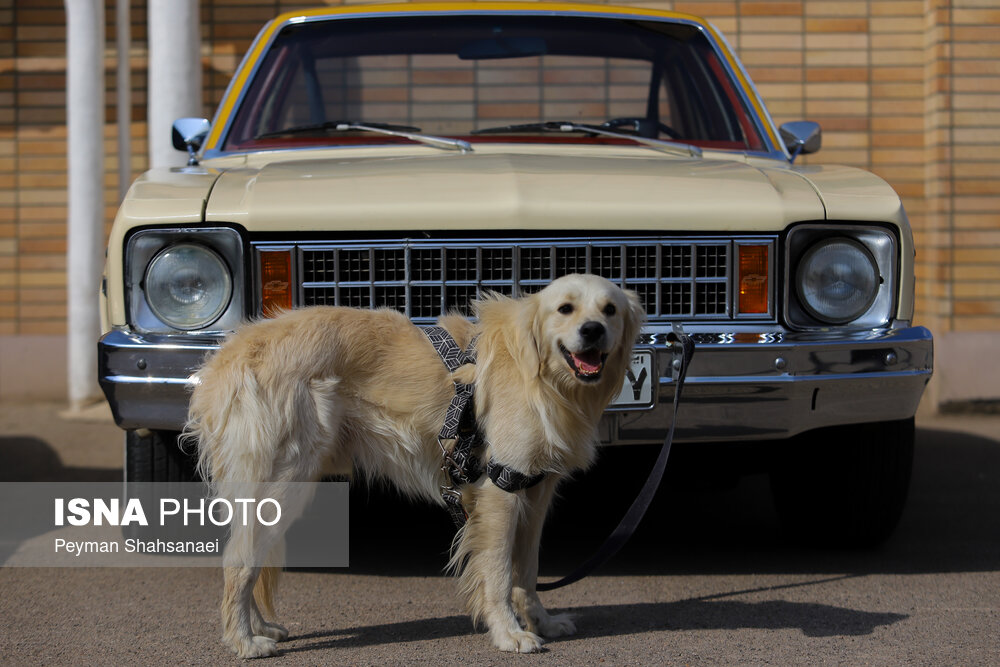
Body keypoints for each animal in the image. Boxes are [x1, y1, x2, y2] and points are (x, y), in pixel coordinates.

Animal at [186, 272, 640, 656]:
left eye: (609, 310)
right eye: (565, 308)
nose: (593, 331)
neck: (541, 374)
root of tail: (228, 356)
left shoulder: (534, 491)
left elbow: (526, 573)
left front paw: (541, 622)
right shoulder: (501, 490)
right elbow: (497, 574)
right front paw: (509, 633)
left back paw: (259, 629)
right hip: (283, 481)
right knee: (238, 561)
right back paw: (244, 641)